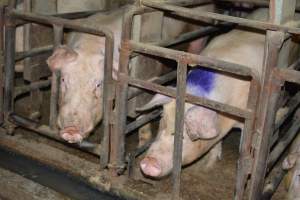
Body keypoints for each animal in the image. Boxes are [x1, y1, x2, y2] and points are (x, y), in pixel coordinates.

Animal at [47, 3, 214, 143]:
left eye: (98, 84)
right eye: (64, 80)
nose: (71, 130)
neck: (91, 48)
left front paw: (143, 142)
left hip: (200, 32)